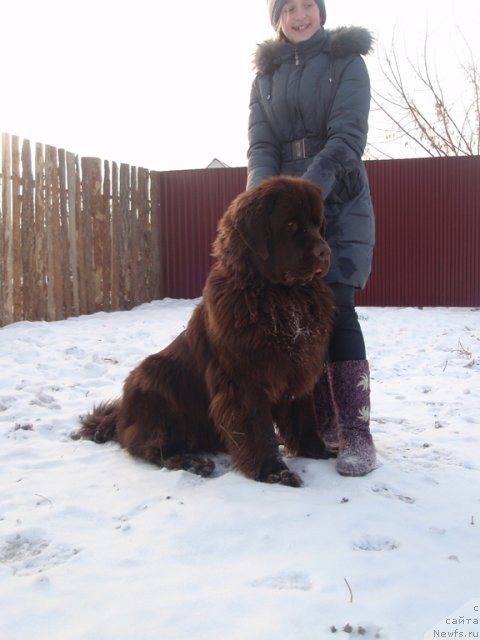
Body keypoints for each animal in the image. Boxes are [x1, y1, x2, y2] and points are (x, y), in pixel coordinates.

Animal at [74, 175, 334, 484]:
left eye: (318, 225)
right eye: (291, 224)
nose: (325, 251)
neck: (280, 298)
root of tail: (120, 415)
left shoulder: (298, 371)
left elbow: (304, 417)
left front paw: (319, 451)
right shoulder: (243, 381)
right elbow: (258, 428)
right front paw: (274, 472)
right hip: (155, 382)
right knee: (152, 448)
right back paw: (194, 463)